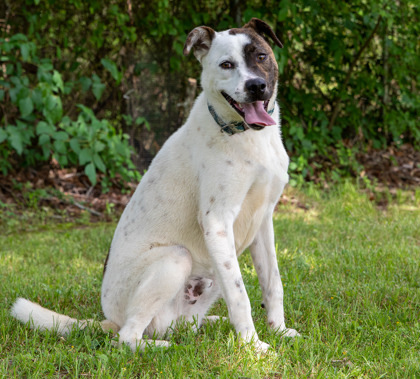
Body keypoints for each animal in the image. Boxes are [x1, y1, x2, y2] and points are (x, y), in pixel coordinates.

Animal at [10, 17, 298, 354]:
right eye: (226, 64)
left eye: (261, 56)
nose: (256, 86)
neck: (246, 135)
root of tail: (109, 318)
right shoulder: (217, 222)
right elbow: (240, 296)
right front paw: (254, 347)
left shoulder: (263, 221)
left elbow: (273, 283)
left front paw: (278, 330)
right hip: (175, 259)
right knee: (128, 337)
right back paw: (162, 346)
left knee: (184, 323)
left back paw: (210, 324)